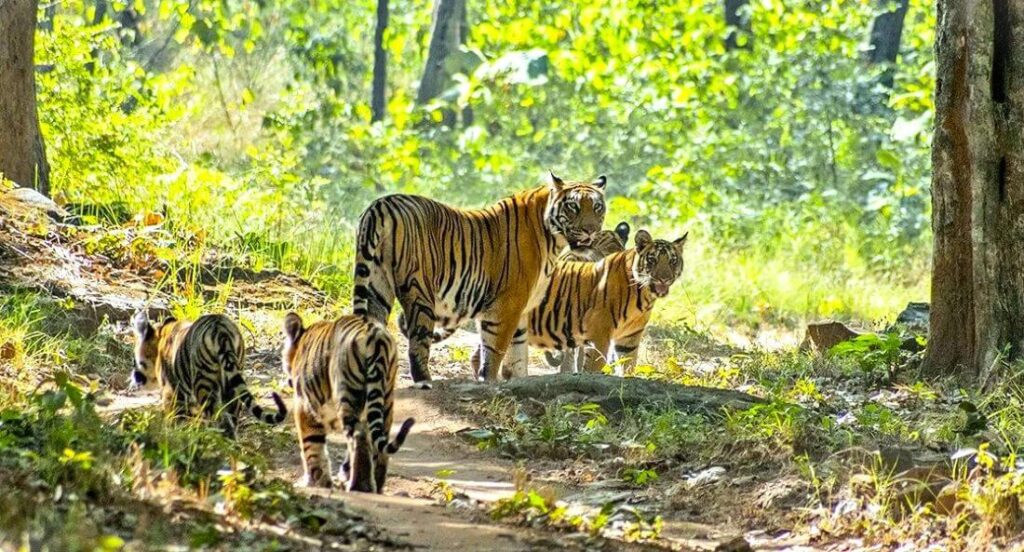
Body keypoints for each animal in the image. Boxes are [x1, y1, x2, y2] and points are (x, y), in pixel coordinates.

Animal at [131, 313, 288, 438]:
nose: (134, 377)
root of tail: (221, 330)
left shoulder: (171, 392)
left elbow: (175, 417)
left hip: (204, 384)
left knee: (218, 418)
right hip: (232, 384)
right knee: (231, 417)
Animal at [282, 313, 413, 495]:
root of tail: (375, 336)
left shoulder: (305, 406)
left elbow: (311, 446)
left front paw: (315, 482)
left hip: (347, 395)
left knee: (359, 437)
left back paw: (360, 486)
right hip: (386, 399)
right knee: (379, 442)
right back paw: (376, 486)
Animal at [352, 172, 606, 385]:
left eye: (597, 207)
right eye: (573, 206)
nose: (590, 230)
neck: (553, 240)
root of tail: (381, 205)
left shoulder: (522, 310)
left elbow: (518, 353)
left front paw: (519, 381)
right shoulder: (506, 306)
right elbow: (494, 350)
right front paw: (490, 381)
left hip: (377, 286)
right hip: (419, 291)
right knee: (418, 341)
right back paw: (424, 380)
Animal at [471, 228, 688, 376]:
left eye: (672, 261)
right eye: (652, 260)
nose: (663, 279)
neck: (644, 294)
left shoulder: (629, 338)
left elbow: (627, 367)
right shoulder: (599, 335)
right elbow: (592, 367)